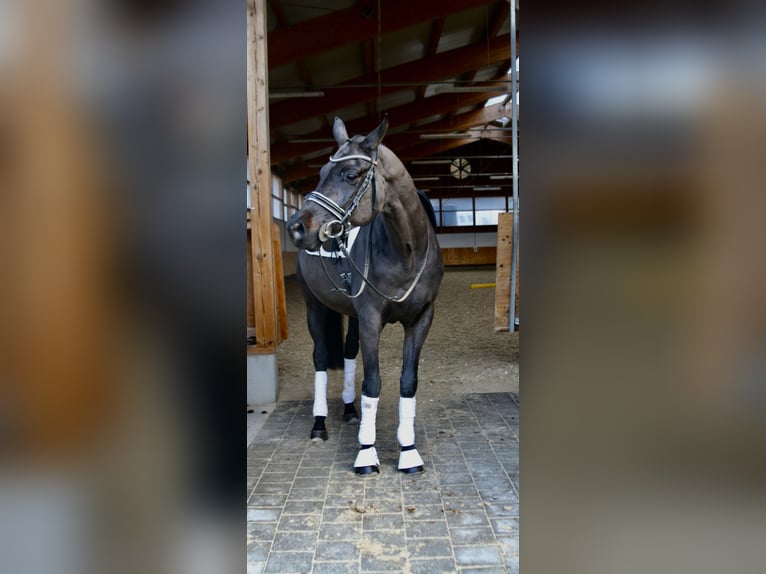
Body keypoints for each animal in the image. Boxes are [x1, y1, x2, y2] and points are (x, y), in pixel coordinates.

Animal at [286, 117, 444, 476]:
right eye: (320, 173)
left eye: (350, 174)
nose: (296, 227)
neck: (405, 252)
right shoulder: (372, 318)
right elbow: (372, 382)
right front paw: (366, 453)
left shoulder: (421, 319)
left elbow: (408, 381)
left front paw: (408, 451)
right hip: (315, 308)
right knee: (320, 357)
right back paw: (320, 424)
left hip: (352, 313)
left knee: (347, 352)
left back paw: (348, 410)